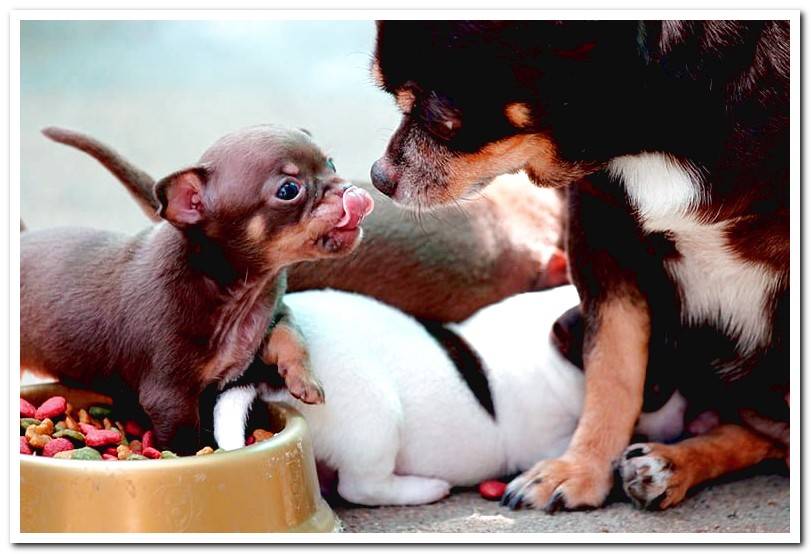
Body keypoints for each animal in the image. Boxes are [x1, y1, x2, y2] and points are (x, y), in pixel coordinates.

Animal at [23, 126, 374, 452]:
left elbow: (291, 337)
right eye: (289, 190)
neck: (238, 291)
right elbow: (184, 440)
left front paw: (305, 379)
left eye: (330, 163)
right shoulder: (169, 396)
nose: (353, 192)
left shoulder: (272, 317)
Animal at [372, 22, 788, 512]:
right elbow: (612, 371)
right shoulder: (600, 239)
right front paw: (581, 469)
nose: (378, 177)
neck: (648, 138)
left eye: (441, 119)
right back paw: (668, 464)